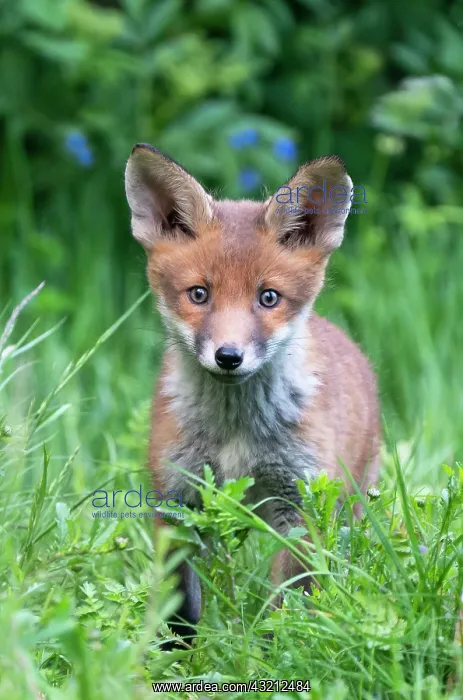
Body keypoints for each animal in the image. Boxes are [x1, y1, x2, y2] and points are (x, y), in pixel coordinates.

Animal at [124, 144, 380, 644]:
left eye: (268, 298)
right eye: (199, 294)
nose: (228, 356)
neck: (236, 434)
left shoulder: (300, 504)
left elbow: (289, 602)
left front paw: (277, 651)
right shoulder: (177, 497)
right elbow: (179, 604)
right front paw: (176, 656)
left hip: (349, 507)